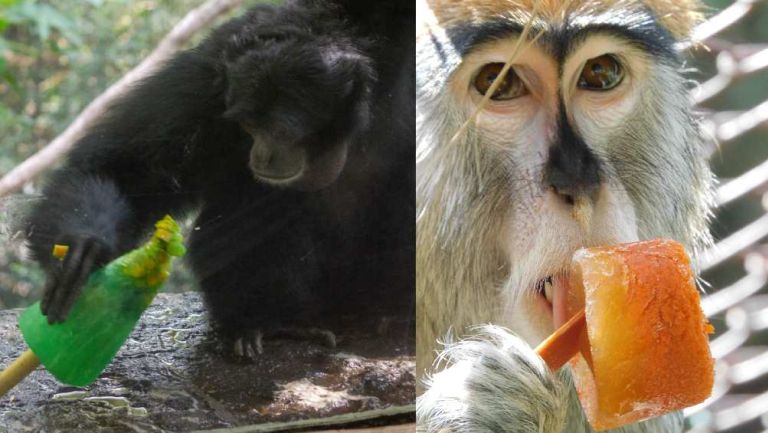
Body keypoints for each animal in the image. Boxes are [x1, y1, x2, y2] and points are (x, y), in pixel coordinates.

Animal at [24, 0, 414, 358]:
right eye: (250, 125)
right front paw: (82, 249)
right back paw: (269, 322)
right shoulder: (208, 79)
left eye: (280, 131)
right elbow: (118, 169)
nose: (263, 154)